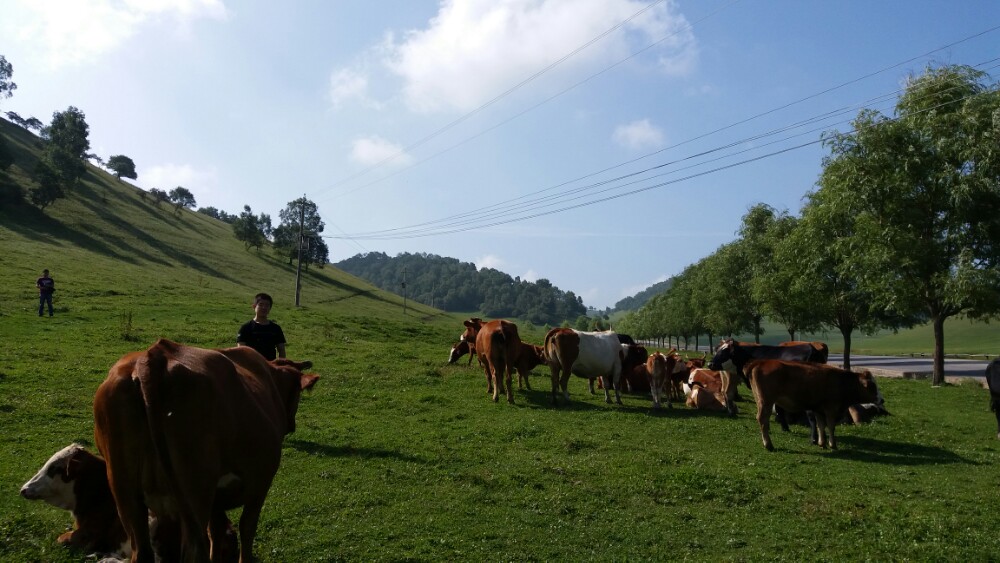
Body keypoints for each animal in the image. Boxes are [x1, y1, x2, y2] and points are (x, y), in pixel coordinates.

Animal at [93, 340, 318, 563]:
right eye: (298, 395)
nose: (292, 425)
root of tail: (153, 356)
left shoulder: (216, 499)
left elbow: (216, 531)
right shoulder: (260, 484)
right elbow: (247, 528)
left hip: (125, 494)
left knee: (141, 551)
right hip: (195, 493)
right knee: (193, 551)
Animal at [740, 364, 880, 452]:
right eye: (871, 386)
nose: (882, 399)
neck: (841, 381)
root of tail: (759, 363)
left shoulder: (818, 409)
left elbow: (820, 425)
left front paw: (822, 443)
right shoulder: (831, 409)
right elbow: (831, 426)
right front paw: (832, 444)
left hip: (760, 400)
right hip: (766, 402)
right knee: (763, 420)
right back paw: (768, 444)